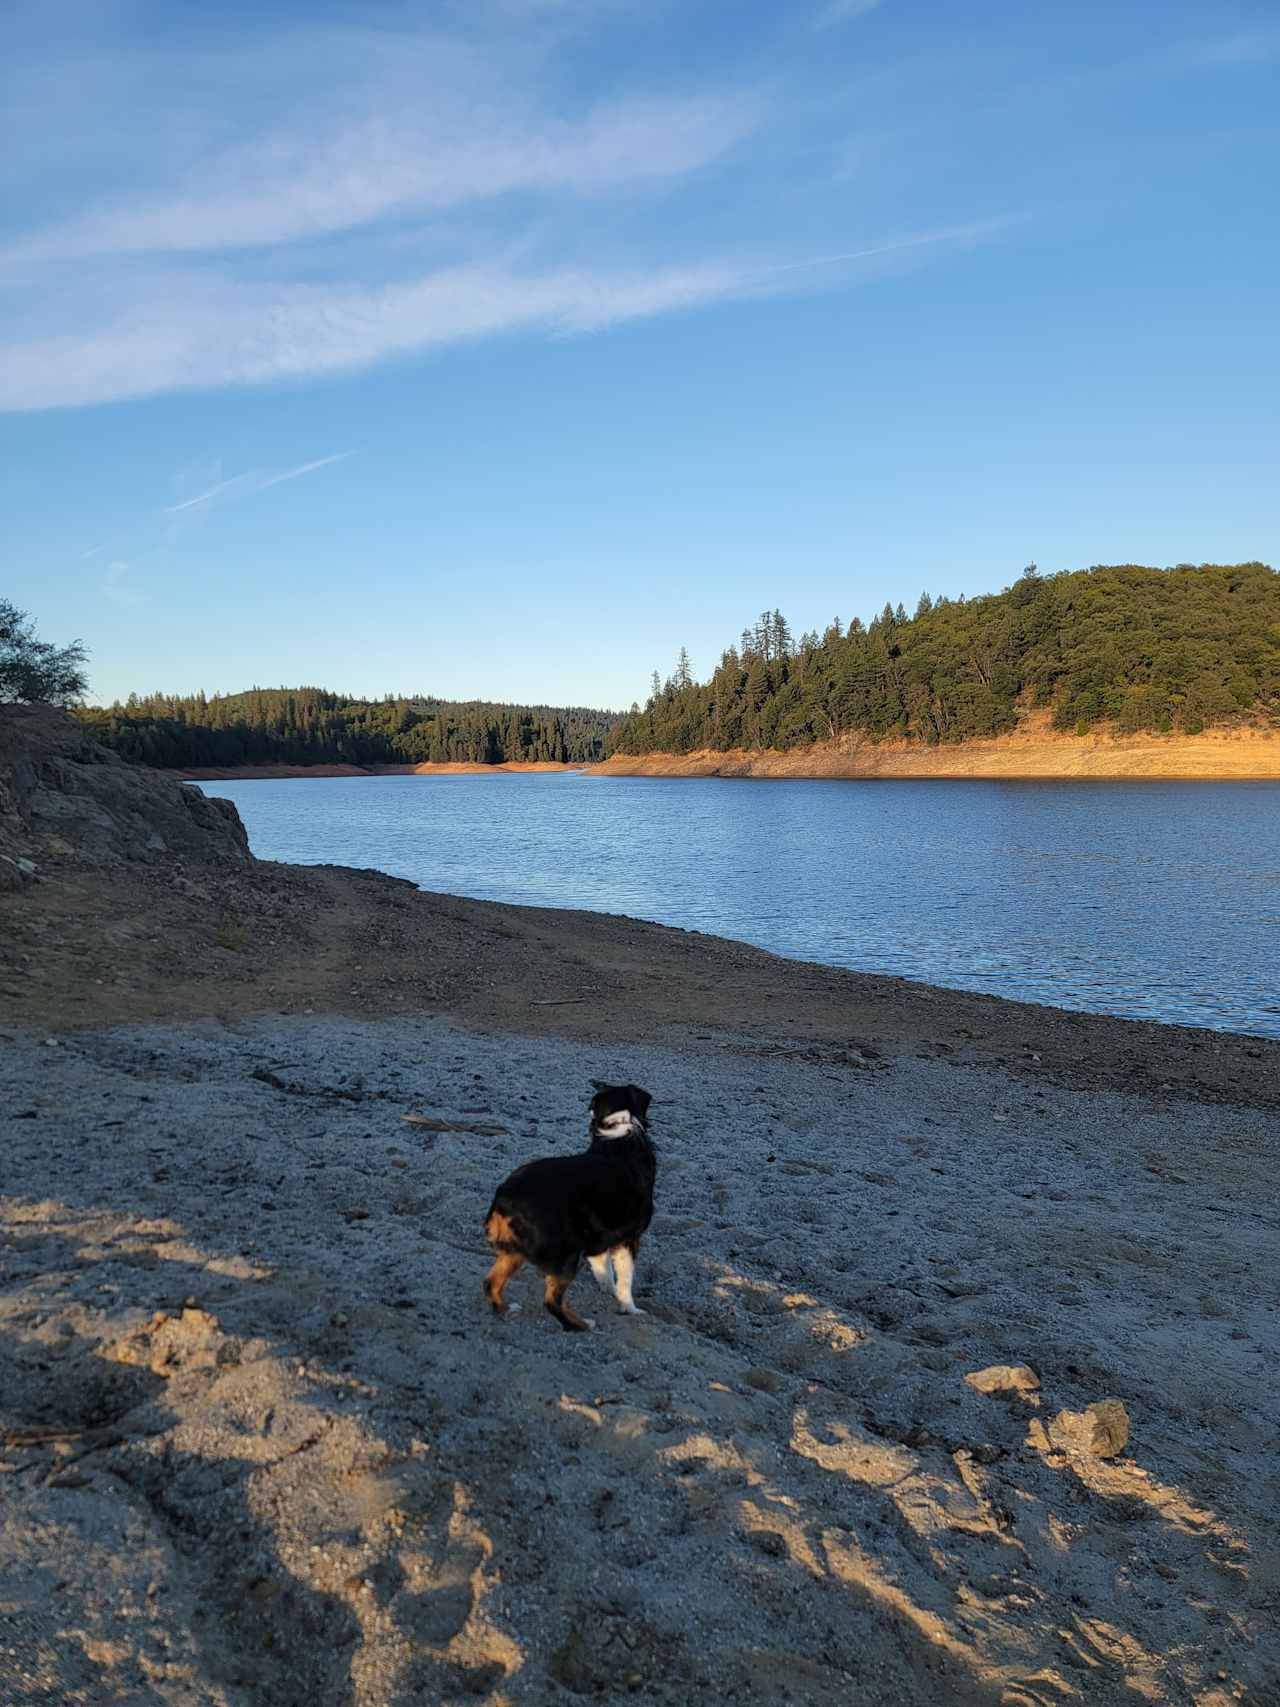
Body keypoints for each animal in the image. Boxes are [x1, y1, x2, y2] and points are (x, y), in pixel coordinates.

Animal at [484, 1078, 655, 1331]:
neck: (619, 1133)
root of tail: (505, 1196)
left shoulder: (599, 1238)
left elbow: (604, 1270)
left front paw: (608, 1291)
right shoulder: (628, 1239)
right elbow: (625, 1282)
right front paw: (630, 1309)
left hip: (515, 1250)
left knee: (491, 1283)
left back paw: (506, 1312)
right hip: (566, 1253)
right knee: (551, 1300)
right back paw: (582, 1325)